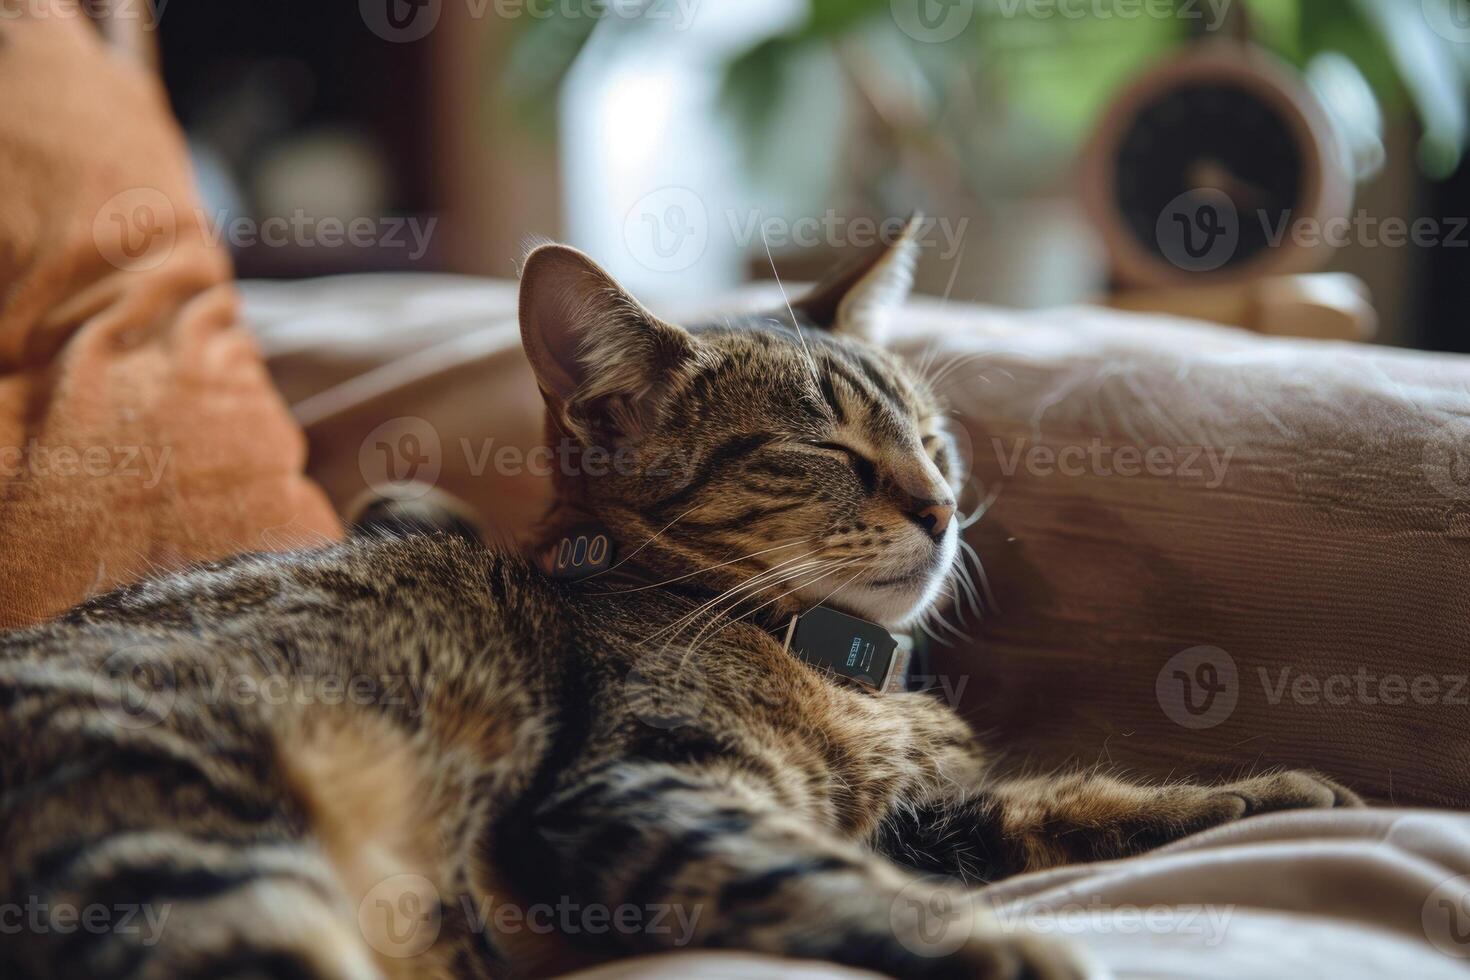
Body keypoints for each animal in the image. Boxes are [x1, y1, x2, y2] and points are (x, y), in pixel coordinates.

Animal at [0, 221, 1358, 980]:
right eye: (827, 452)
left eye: (931, 436)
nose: (943, 504)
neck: (840, 669)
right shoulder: (641, 782)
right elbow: (831, 871)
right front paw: (1005, 943)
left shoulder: (922, 813)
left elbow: (1064, 804)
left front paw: (1270, 794)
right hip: (183, 847)